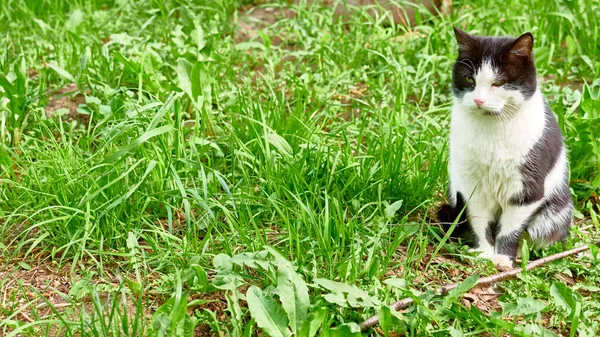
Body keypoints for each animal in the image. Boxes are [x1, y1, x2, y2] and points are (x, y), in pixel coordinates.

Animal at [438, 26, 576, 268]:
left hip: (553, 213)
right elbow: (480, 221)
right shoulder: (471, 187)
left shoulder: (526, 190)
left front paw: (502, 258)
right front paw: (484, 253)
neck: (492, 132)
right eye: (469, 79)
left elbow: (510, 229)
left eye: (499, 83)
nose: (479, 101)